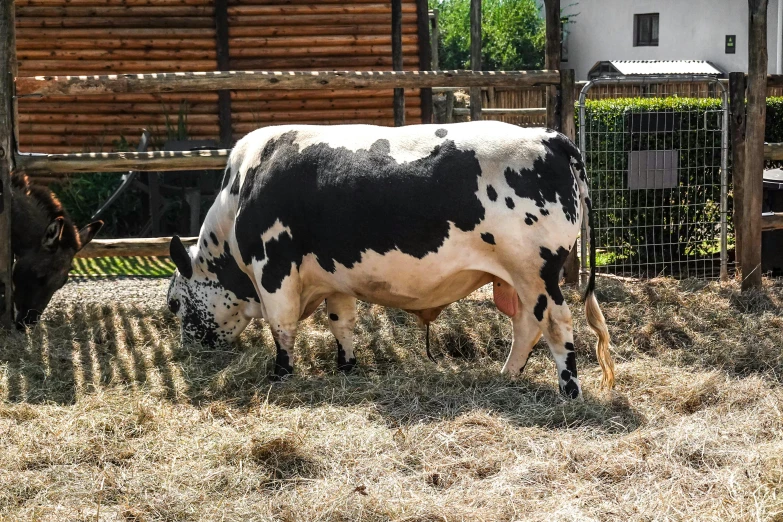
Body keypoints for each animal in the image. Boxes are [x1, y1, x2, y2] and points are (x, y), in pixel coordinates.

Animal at [168, 120, 616, 394]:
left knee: (556, 323)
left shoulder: (273, 273)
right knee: (527, 325)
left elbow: (282, 329)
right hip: (517, 278)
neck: (241, 192)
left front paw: (280, 374)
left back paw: (569, 389)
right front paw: (346, 366)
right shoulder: (335, 276)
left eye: (173, 303)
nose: (188, 348)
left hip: (538, 271)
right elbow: (342, 323)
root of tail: (546, 136)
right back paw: (506, 375)